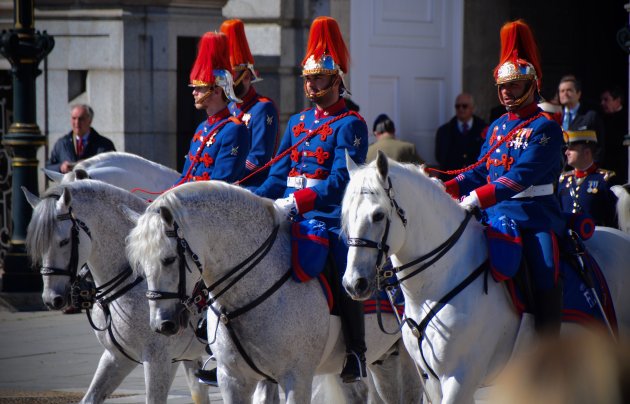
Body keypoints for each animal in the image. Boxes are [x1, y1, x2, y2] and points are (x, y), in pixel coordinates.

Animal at [23, 181, 210, 404]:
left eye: (63, 242)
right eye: (38, 245)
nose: (52, 299)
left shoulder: (159, 359)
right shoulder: (117, 357)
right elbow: (90, 397)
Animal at [126, 181, 422, 404]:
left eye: (168, 260)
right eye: (140, 265)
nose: (162, 324)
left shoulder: (297, 377)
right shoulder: (234, 380)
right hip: (383, 359)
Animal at [346, 152, 630, 404]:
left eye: (378, 215)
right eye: (346, 216)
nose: (353, 284)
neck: (433, 285)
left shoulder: (460, 379)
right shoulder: (434, 381)